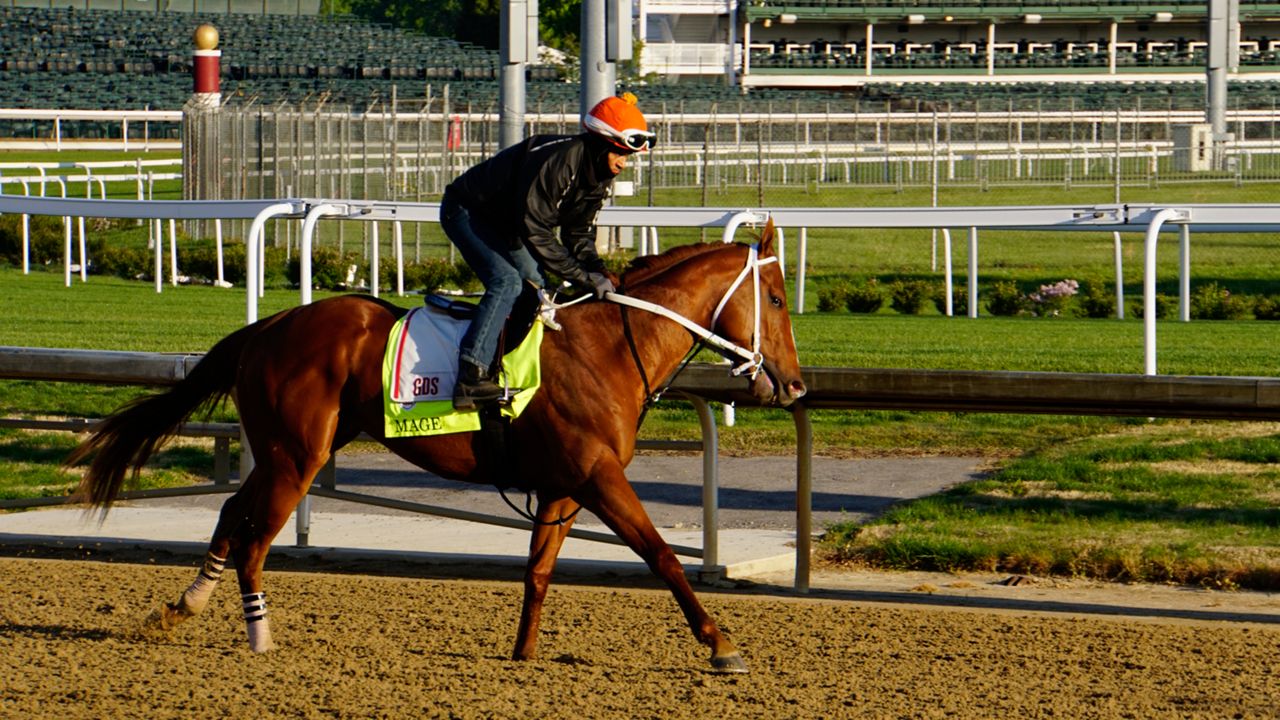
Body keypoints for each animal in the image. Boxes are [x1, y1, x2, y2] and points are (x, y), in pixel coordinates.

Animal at [67, 220, 798, 671]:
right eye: (777, 298)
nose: (792, 384)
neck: (610, 347)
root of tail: (268, 326)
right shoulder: (598, 477)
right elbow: (663, 558)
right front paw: (722, 644)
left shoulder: (564, 485)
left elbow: (538, 572)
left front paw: (523, 654)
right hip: (297, 457)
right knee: (255, 541)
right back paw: (259, 635)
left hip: (283, 451)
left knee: (230, 513)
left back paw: (184, 606)